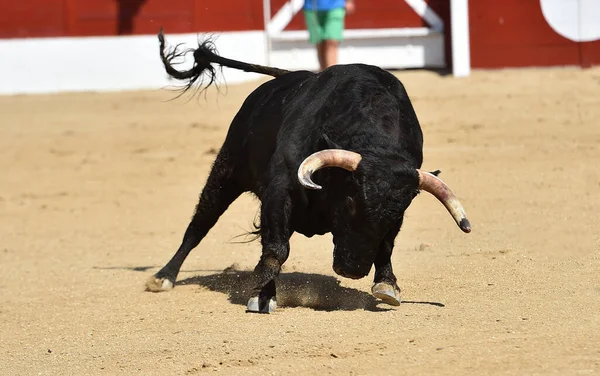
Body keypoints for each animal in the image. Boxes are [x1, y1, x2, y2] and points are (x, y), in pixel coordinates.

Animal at [146, 29, 474, 312]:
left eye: (395, 214)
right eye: (350, 202)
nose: (352, 270)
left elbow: (387, 245)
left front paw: (387, 285)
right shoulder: (280, 190)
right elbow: (277, 248)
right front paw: (262, 297)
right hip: (226, 171)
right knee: (200, 224)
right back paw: (163, 277)